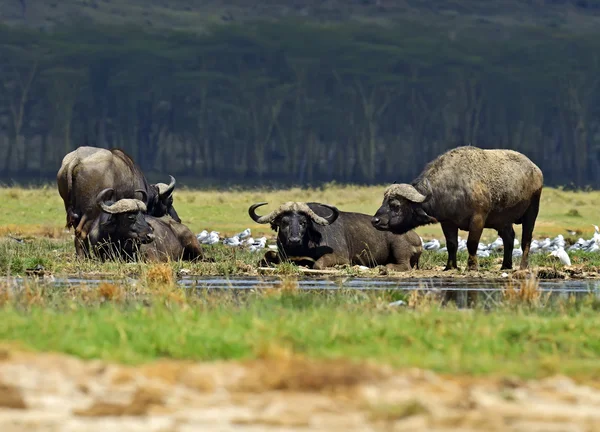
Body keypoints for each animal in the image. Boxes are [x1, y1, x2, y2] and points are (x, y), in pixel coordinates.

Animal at [248, 200, 422, 270]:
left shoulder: (340, 256)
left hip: (399, 246)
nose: (294, 240)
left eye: (303, 222)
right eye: (284, 222)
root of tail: (417, 239)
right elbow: (265, 257)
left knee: (404, 265)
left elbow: (318, 264)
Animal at [370, 147, 544, 272]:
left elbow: (471, 243)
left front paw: (471, 266)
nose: (375, 220)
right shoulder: (447, 222)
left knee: (526, 239)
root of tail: (536, 169)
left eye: (395, 205)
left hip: (532, 211)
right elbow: (451, 244)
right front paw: (450, 267)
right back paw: (505, 266)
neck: (452, 189)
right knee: (509, 238)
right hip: (503, 220)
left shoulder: (478, 219)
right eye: (384, 201)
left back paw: (522, 266)